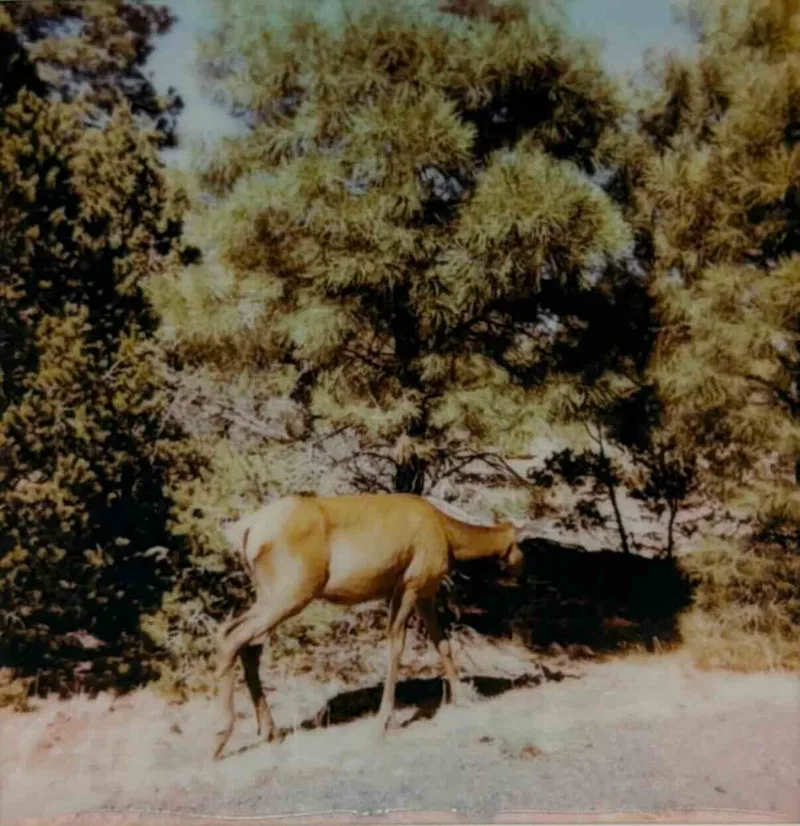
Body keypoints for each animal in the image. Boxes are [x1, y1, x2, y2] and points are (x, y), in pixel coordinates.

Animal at [212, 492, 525, 761]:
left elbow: (443, 643)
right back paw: (221, 737)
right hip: (289, 591)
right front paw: (382, 722)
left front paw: (462, 698)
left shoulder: (426, 591)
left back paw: (270, 730)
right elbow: (396, 644)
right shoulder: (411, 582)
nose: (519, 569)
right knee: (230, 635)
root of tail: (247, 532)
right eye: (521, 545)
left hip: (270, 593)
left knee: (249, 646)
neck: (449, 538)